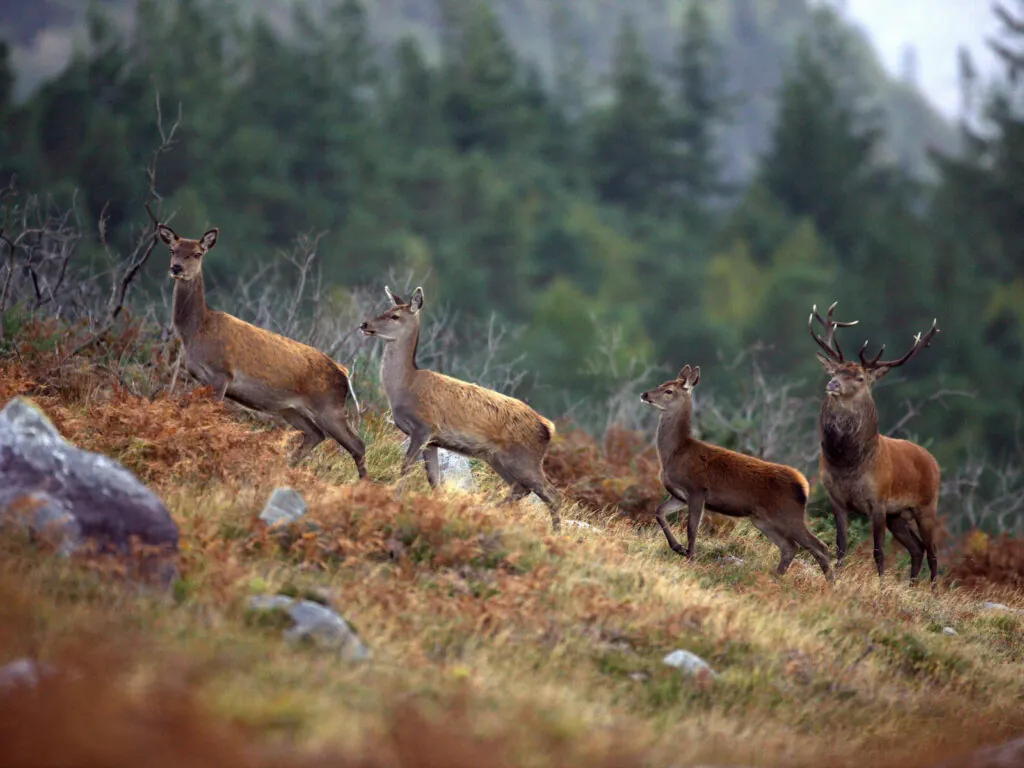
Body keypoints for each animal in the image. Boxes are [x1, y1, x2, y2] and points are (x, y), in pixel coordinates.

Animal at [157, 223, 367, 479]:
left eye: (197, 253)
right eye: (172, 250)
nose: (176, 268)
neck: (195, 331)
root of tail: (344, 372)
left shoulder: (221, 374)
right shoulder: (201, 378)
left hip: (329, 406)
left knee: (357, 444)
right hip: (290, 408)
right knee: (316, 434)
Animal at [359, 286, 562, 531]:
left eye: (395, 316)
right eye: (385, 309)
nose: (365, 324)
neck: (405, 386)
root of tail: (547, 427)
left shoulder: (423, 427)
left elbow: (406, 466)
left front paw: (394, 499)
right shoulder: (433, 440)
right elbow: (434, 479)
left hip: (525, 458)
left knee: (552, 494)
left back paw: (555, 533)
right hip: (499, 458)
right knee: (521, 488)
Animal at [641, 365, 832, 581]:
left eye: (669, 391)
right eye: (660, 384)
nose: (645, 394)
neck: (676, 452)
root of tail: (804, 485)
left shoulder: (698, 490)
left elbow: (692, 528)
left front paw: (690, 559)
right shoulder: (680, 495)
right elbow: (659, 512)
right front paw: (678, 548)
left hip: (789, 513)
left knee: (819, 547)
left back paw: (830, 584)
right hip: (762, 519)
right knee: (790, 547)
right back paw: (775, 580)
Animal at [809, 301, 941, 584]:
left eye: (859, 378)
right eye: (835, 371)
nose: (832, 383)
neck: (848, 464)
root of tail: (933, 461)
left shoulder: (878, 501)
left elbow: (879, 550)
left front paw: (880, 585)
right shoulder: (836, 498)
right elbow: (841, 544)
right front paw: (835, 578)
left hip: (927, 505)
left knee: (933, 551)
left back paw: (932, 590)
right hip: (898, 515)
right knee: (917, 548)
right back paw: (912, 587)